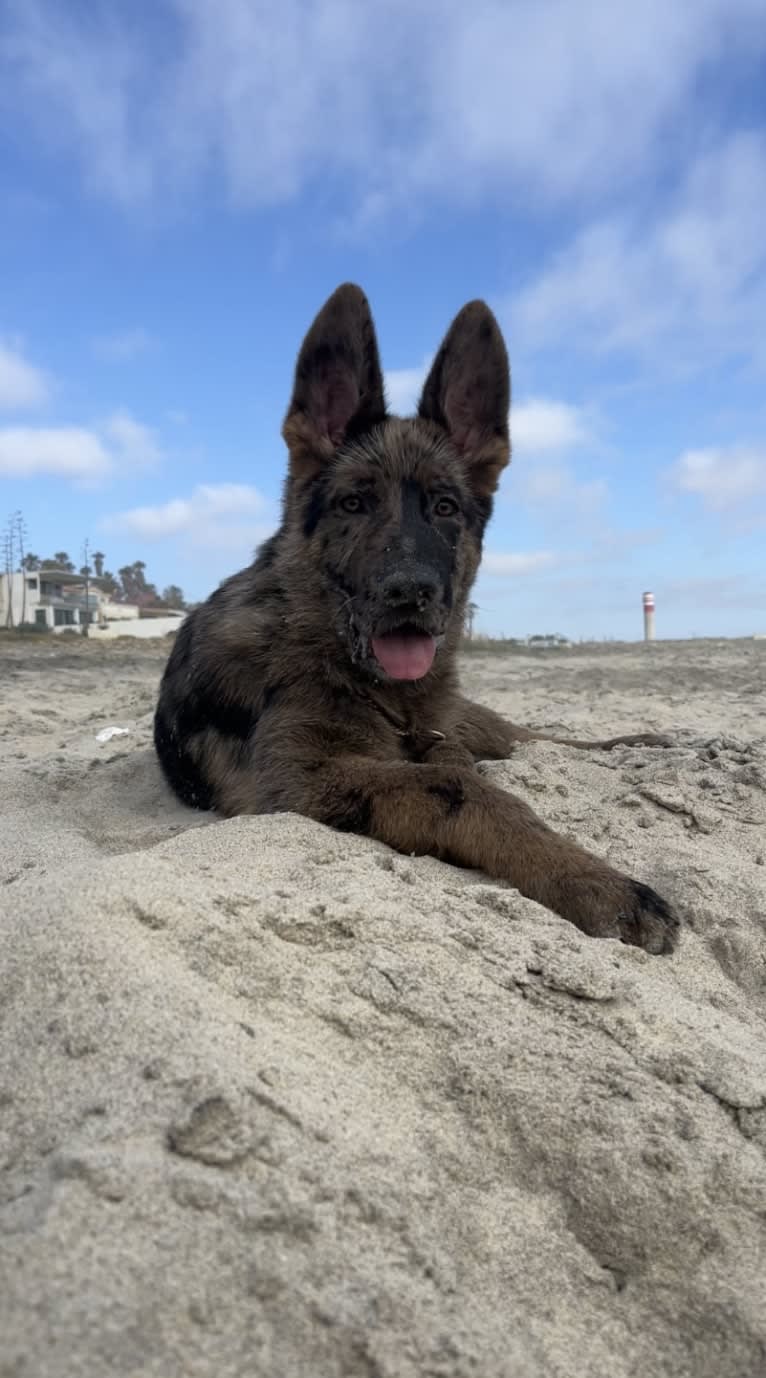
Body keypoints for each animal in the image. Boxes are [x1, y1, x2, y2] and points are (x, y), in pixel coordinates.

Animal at [152, 276, 680, 948]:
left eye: (446, 507)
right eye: (353, 504)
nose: (410, 593)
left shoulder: (429, 739)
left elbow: (464, 773)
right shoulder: (299, 779)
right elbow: (462, 788)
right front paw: (593, 880)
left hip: (474, 720)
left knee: (534, 738)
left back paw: (639, 741)